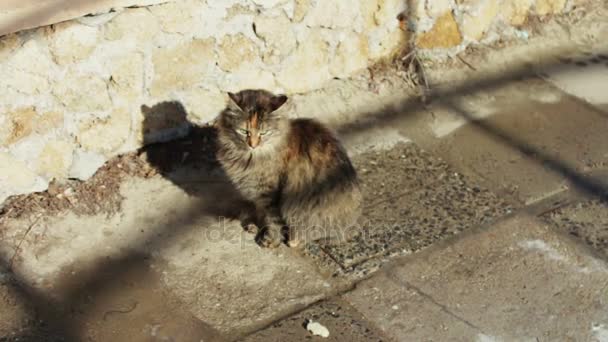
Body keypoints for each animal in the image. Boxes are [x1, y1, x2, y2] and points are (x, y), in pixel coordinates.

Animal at [216, 89, 364, 247]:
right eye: (244, 131)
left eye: (263, 133)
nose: (253, 145)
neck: (247, 156)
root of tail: (353, 225)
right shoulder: (256, 193)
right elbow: (260, 212)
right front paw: (254, 224)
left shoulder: (269, 194)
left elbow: (273, 220)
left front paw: (270, 239)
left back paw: (293, 239)